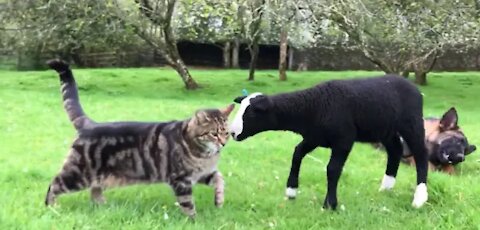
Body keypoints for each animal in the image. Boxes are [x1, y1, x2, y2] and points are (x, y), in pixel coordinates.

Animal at [45, 59, 234, 217]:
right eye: (214, 133)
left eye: (226, 133)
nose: (223, 143)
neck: (204, 154)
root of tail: (89, 124)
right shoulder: (181, 180)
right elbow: (188, 205)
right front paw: (194, 220)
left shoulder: (202, 174)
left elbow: (220, 179)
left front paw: (219, 201)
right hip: (77, 174)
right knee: (54, 184)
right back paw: (52, 208)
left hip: (98, 177)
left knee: (94, 191)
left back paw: (103, 206)